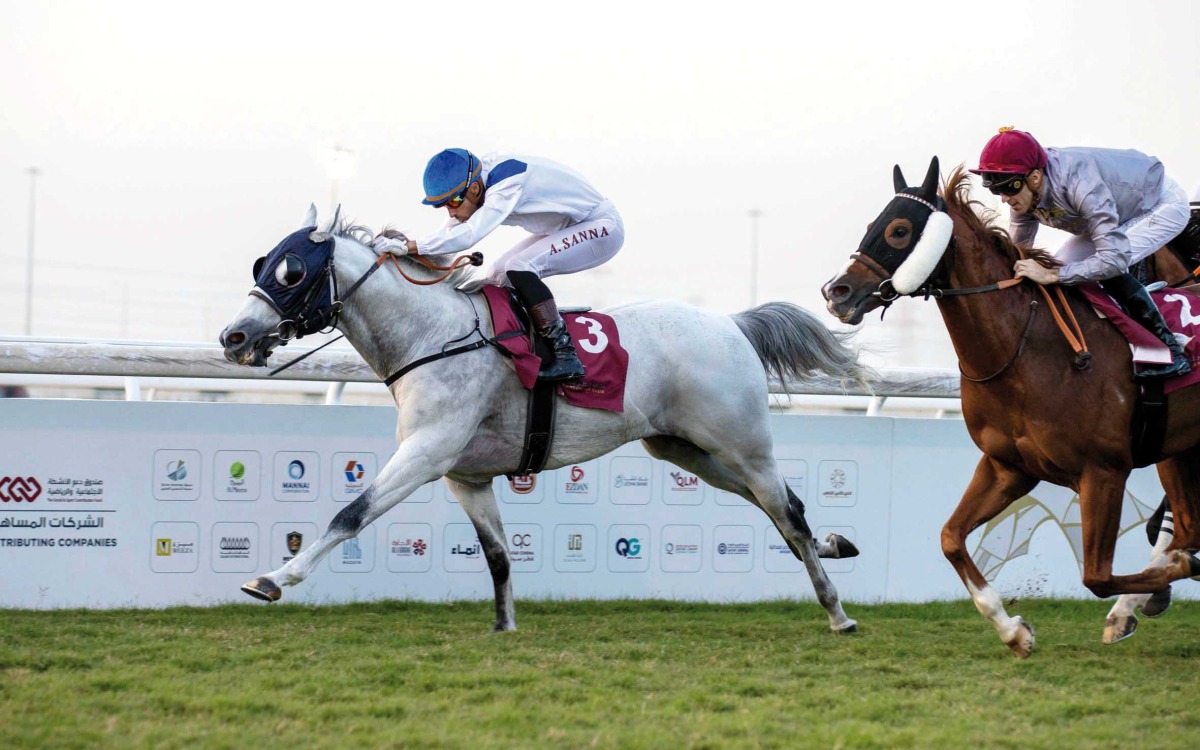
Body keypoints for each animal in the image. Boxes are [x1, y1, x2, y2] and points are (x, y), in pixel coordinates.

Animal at [820, 158, 1200, 652]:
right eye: (872, 226)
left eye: (900, 231)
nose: (837, 292)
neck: (1026, 348)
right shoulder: (1007, 466)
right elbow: (950, 537)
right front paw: (1012, 628)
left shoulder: (1104, 472)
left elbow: (1097, 575)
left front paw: (1170, 576)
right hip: (1179, 450)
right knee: (1186, 526)